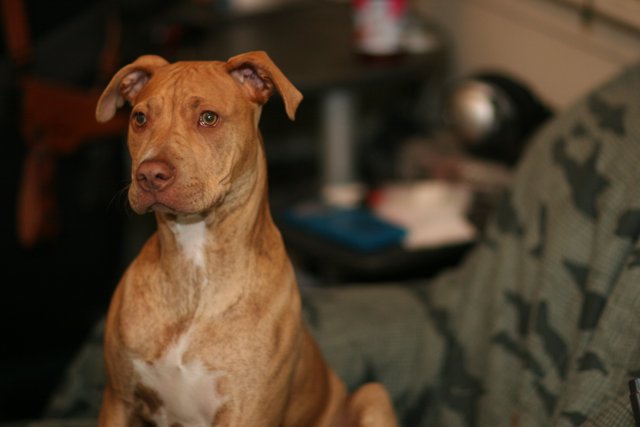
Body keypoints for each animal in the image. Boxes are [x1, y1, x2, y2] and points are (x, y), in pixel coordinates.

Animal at [95, 51, 398, 427]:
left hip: (373, 396)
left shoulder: (248, 412)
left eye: (208, 118)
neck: (195, 265)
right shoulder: (118, 399)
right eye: (139, 118)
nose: (150, 175)